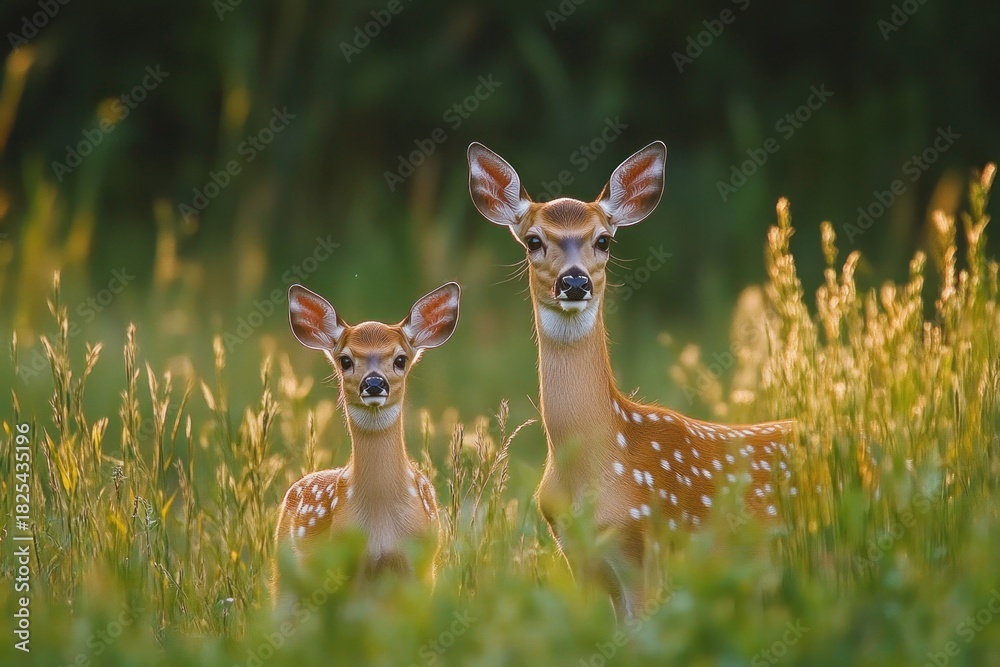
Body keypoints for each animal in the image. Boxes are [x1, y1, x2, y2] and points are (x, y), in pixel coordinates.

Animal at [272, 282, 460, 599]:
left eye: (400, 359)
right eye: (345, 360)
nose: (373, 383)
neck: (380, 522)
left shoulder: (421, 563)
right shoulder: (345, 565)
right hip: (283, 574)